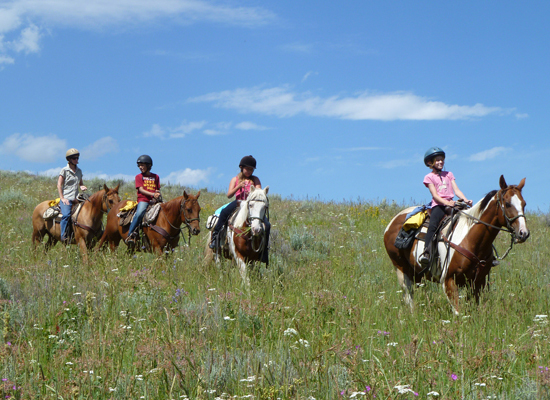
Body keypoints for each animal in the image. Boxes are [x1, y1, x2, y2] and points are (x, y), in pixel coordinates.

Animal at [384, 176, 532, 316]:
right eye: (507, 204)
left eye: (524, 204)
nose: (523, 233)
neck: (470, 240)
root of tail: (392, 222)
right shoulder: (448, 281)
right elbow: (458, 313)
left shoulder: (478, 282)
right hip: (401, 269)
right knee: (408, 296)